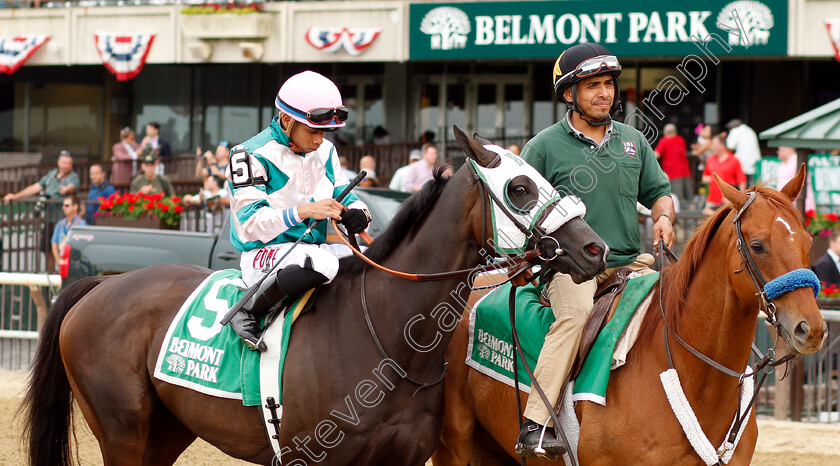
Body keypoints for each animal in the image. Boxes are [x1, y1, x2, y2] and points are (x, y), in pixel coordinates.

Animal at [21, 127, 612, 466]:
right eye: (520, 188)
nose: (595, 248)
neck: (390, 341)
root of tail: (102, 287)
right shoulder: (316, 456)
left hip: (164, 431)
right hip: (121, 428)